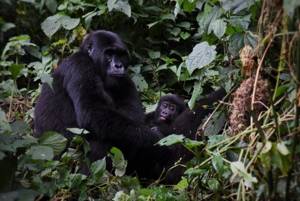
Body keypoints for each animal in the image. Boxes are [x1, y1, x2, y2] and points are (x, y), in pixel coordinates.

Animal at [34, 30, 163, 163]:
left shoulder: (125, 79)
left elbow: (134, 115)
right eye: (109, 54)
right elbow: (92, 112)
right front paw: (152, 138)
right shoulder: (80, 64)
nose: (118, 65)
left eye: (121, 55)